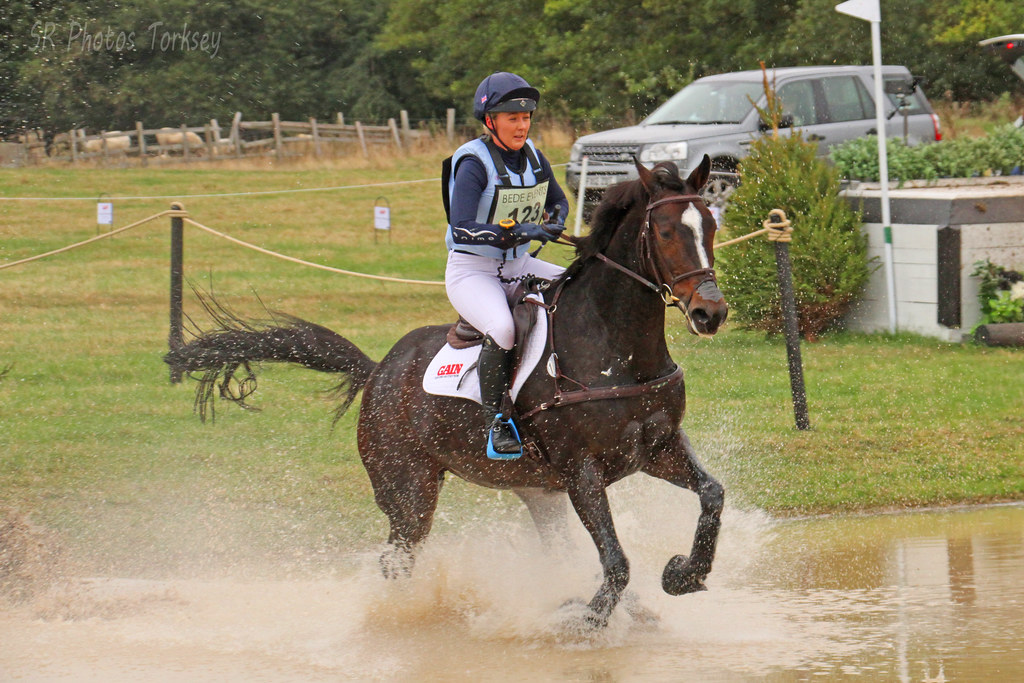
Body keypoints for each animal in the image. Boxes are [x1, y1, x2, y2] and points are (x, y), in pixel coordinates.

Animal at [165, 155, 729, 628]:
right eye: (664, 231)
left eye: (711, 225)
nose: (711, 312)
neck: (616, 347)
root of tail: (378, 371)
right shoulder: (581, 469)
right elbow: (615, 560)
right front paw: (587, 621)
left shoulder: (655, 449)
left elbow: (712, 496)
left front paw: (684, 574)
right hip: (409, 492)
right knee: (397, 560)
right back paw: (404, 617)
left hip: (536, 491)